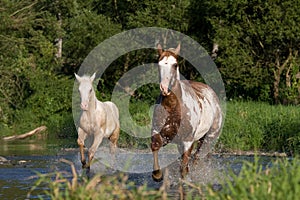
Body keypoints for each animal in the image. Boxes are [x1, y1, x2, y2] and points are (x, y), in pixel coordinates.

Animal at [150, 43, 223, 181]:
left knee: (197, 157)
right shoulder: (161, 133)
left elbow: (183, 168)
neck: (173, 108)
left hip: (208, 138)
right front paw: (157, 174)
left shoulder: (188, 141)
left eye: (175, 65)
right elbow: (155, 145)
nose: (164, 88)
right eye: (159, 64)